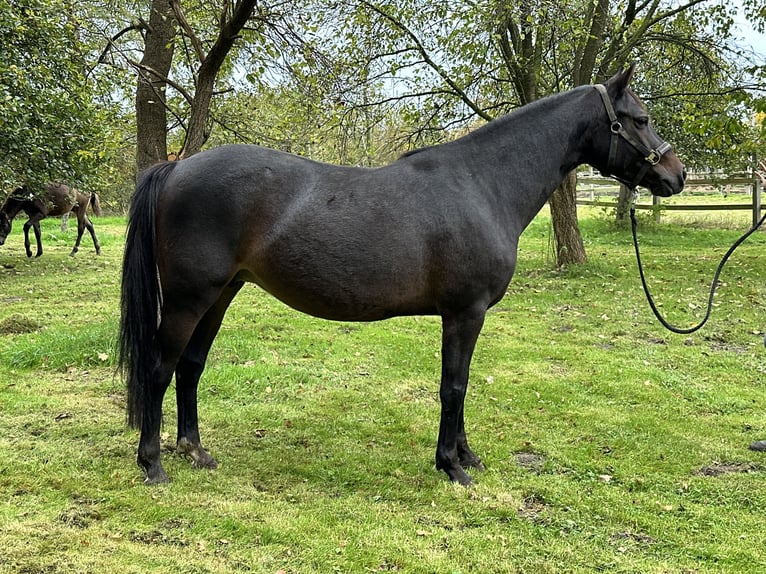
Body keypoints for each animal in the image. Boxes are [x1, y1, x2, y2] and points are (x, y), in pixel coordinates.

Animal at [121, 65, 688, 488]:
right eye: (639, 119)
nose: (676, 175)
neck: (482, 184)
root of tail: (177, 167)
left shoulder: (465, 317)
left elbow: (461, 385)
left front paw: (466, 456)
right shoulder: (465, 313)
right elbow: (453, 387)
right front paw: (453, 467)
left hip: (220, 294)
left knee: (191, 367)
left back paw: (195, 451)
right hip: (188, 298)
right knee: (160, 368)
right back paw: (153, 463)